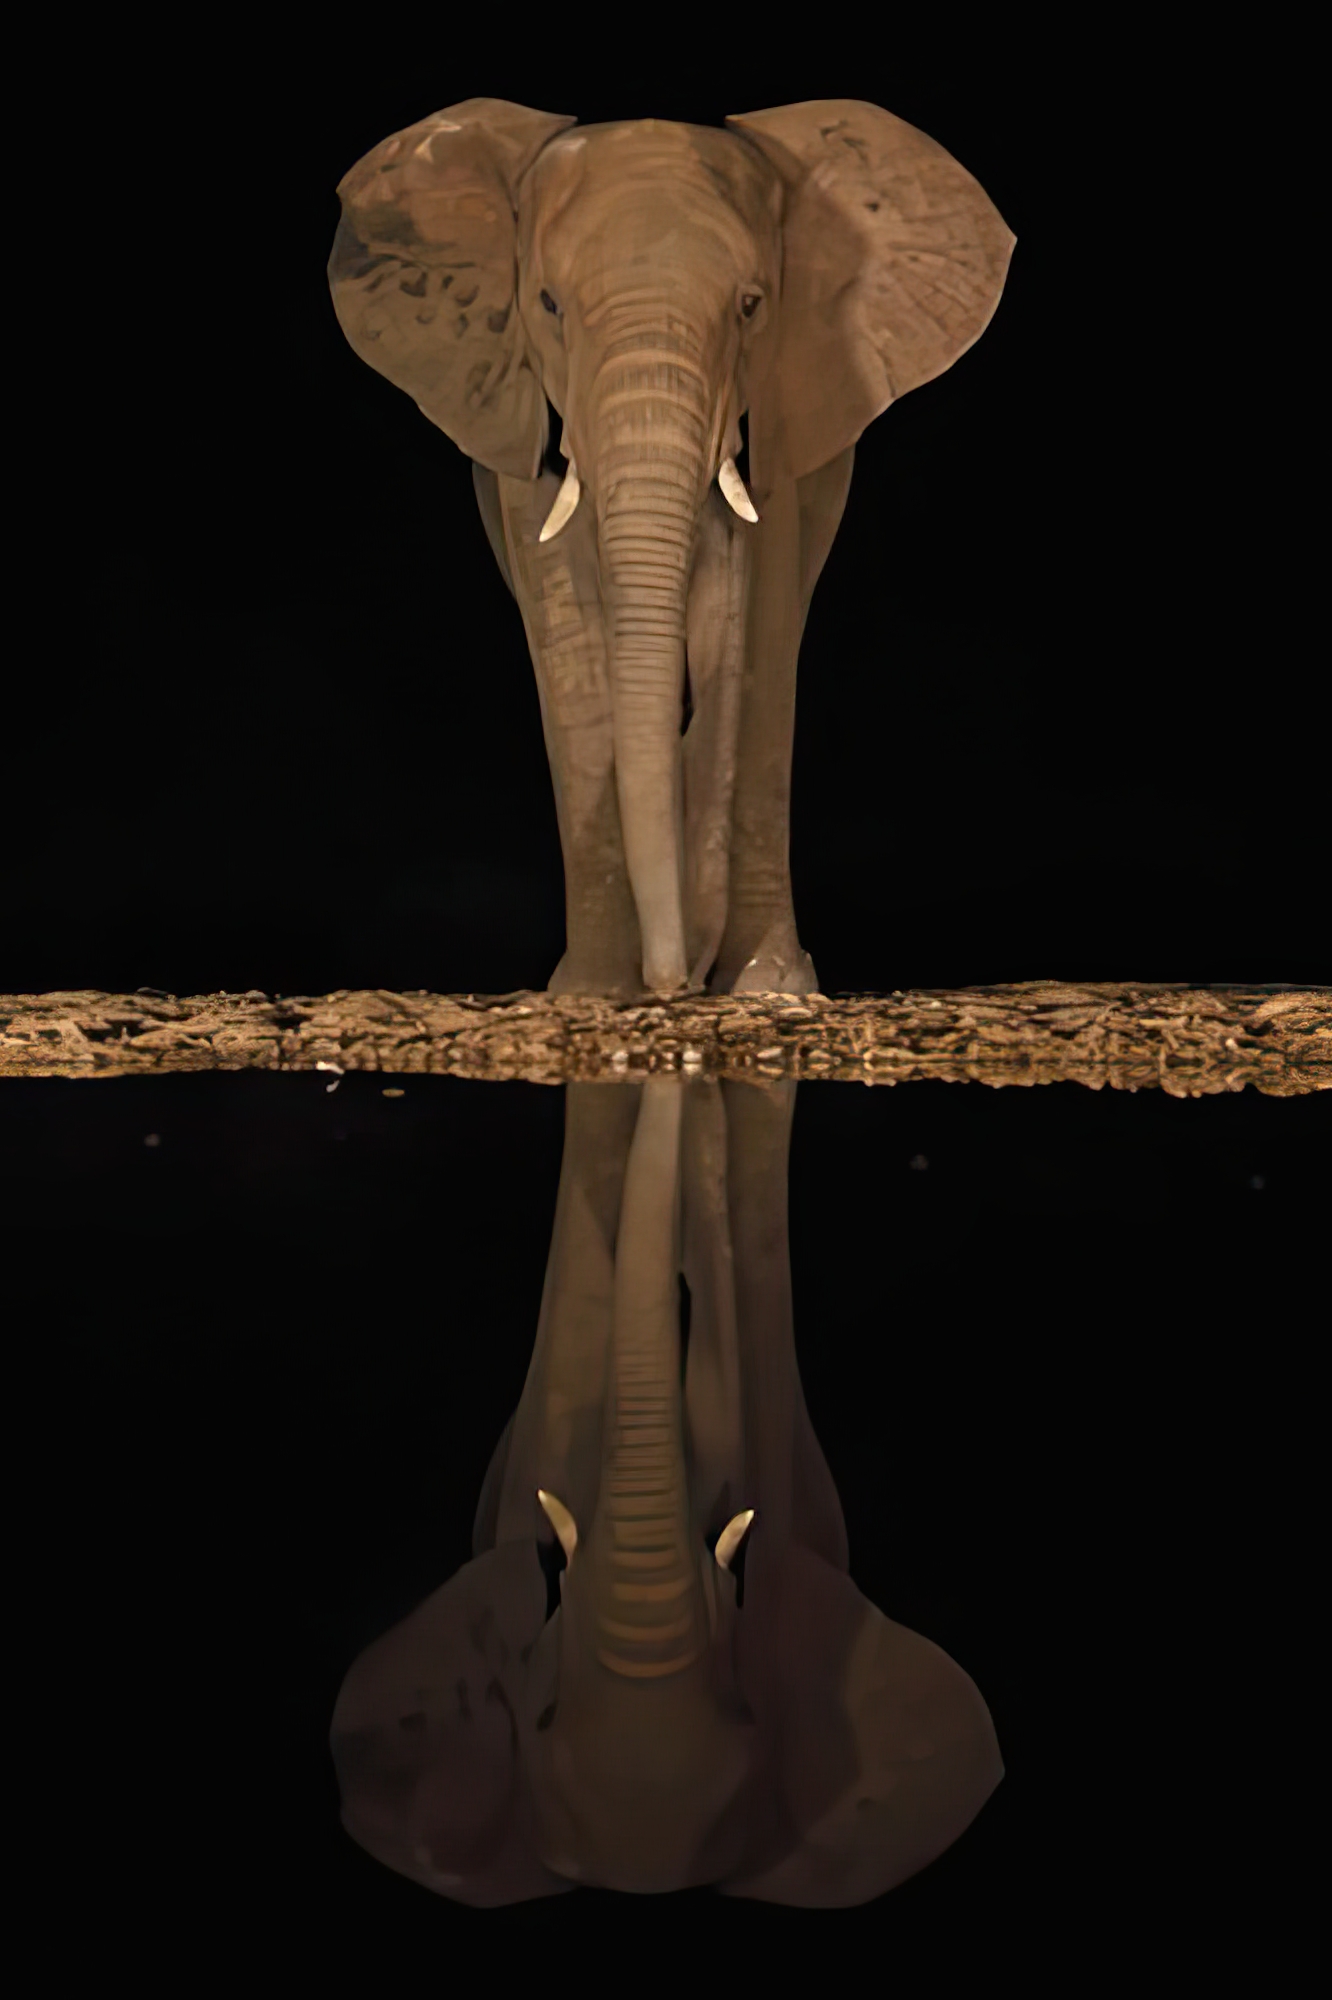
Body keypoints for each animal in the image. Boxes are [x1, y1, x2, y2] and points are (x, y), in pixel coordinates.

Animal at [327, 98, 1015, 997]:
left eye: (753, 305)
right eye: (547, 304)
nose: (676, 982)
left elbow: (756, 590)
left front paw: (766, 988)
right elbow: (559, 602)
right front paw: (592, 993)